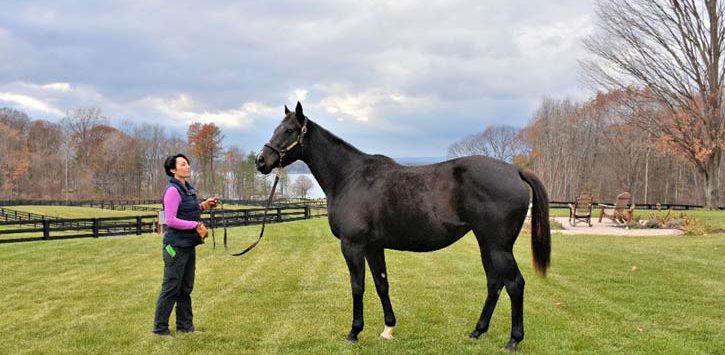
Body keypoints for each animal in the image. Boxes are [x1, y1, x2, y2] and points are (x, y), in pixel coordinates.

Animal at [258, 101, 552, 352]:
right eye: (275, 129)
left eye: (289, 130)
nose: (261, 161)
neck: (350, 177)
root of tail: (515, 171)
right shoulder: (373, 247)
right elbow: (381, 284)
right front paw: (388, 328)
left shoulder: (353, 246)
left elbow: (357, 286)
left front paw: (354, 332)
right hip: (486, 244)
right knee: (494, 283)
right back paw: (477, 331)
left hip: (498, 247)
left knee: (514, 284)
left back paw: (513, 340)